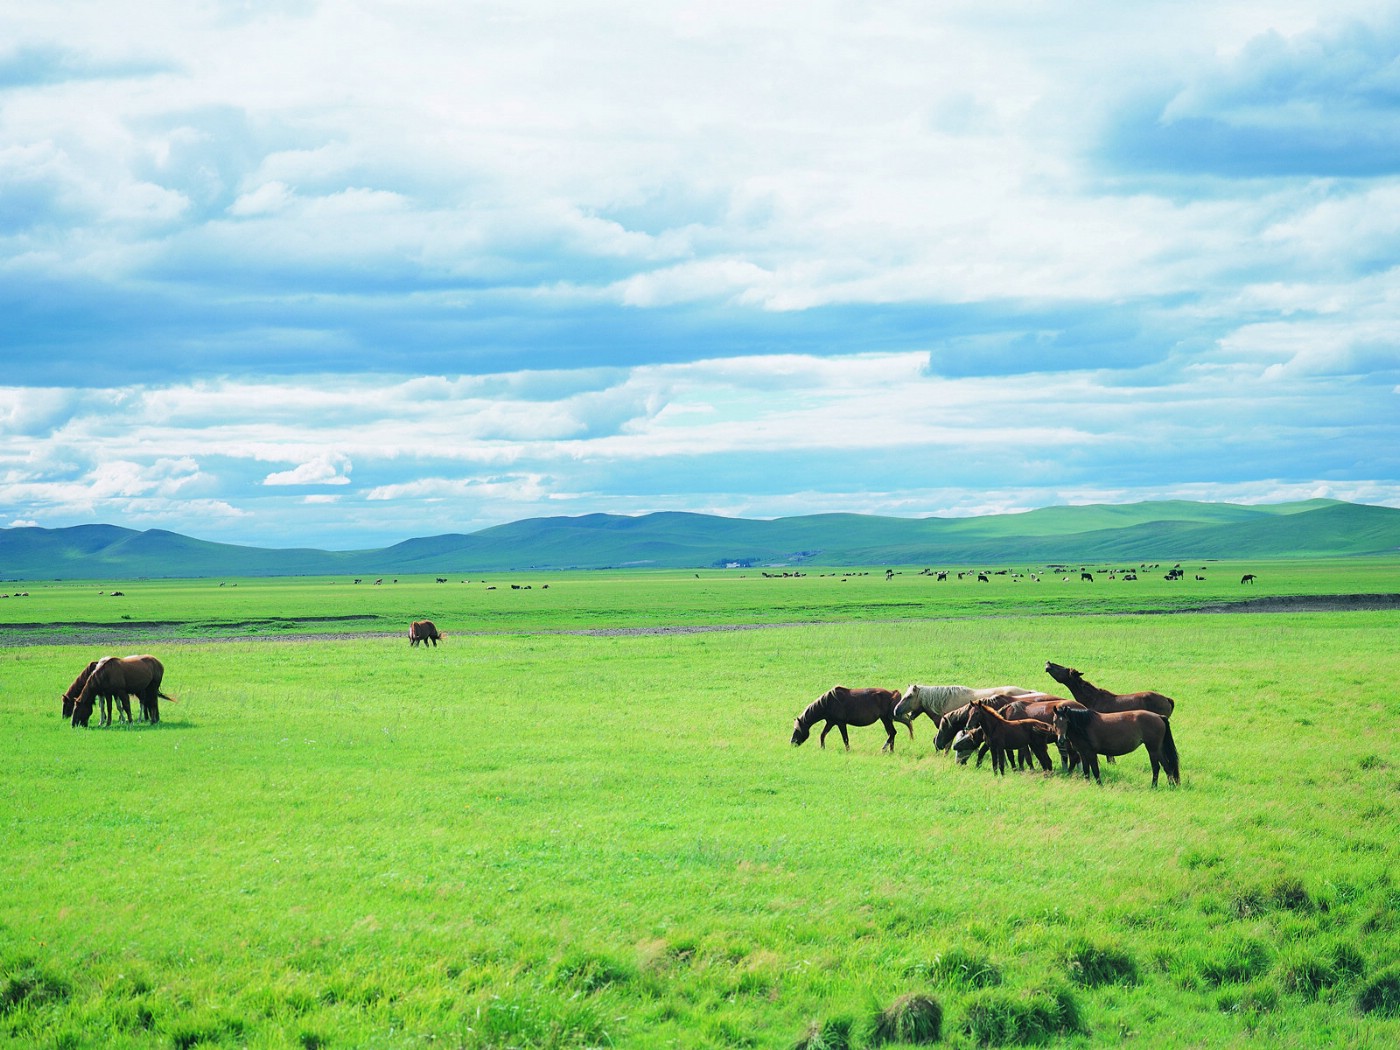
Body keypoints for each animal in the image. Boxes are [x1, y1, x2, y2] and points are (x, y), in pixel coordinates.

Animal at [1052, 708, 1181, 789]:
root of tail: (1159, 716)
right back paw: (1168, 786)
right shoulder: (1083, 753)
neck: (1084, 725)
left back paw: (1157, 786)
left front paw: (1100, 786)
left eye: (1067, 721)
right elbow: (1086, 770)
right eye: (1054, 721)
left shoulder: (1091, 753)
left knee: (1158, 767)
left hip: (1153, 749)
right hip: (1157, 749)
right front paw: (1087, 784)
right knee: (1165, 766)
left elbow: (1095, 770)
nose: (1061, 740)